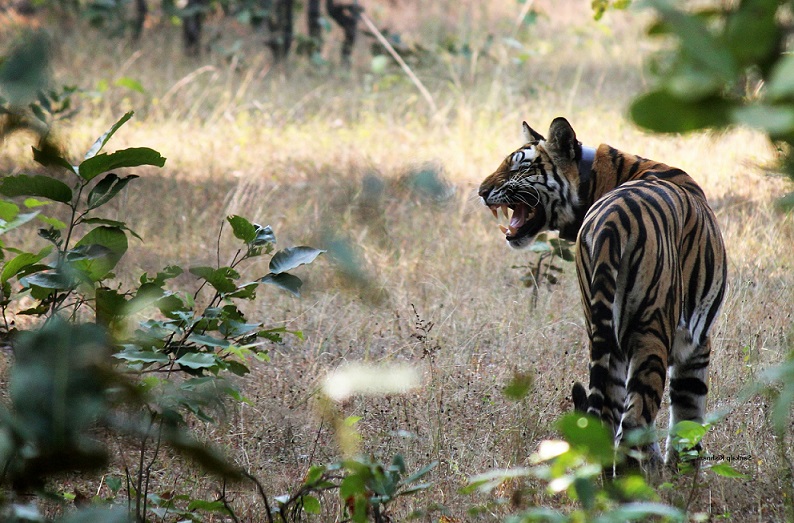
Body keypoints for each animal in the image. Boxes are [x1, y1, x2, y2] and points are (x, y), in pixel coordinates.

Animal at [478, 117, 727, 469]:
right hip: (651, 335)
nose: (481, 192)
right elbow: (688, 422)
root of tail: (612, 221)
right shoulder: (696, 343)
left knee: (608, 425)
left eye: (521, 166)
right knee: (633, 424)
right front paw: (682, 477)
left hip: (606, 337)